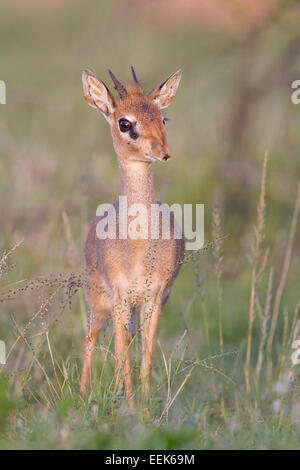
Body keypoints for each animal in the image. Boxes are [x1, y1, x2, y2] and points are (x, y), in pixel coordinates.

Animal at [81, 66, 184, 408]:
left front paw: (146, 408)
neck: (137, 247)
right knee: (91, 339)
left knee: (128, 341)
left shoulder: (155, 298)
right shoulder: (120, 299)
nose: (163, 153)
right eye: (125, 123)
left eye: (163, 117)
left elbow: (146, 354)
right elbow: (120, 354)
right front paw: (126, 404)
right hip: (99, 301)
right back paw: (83, 396)